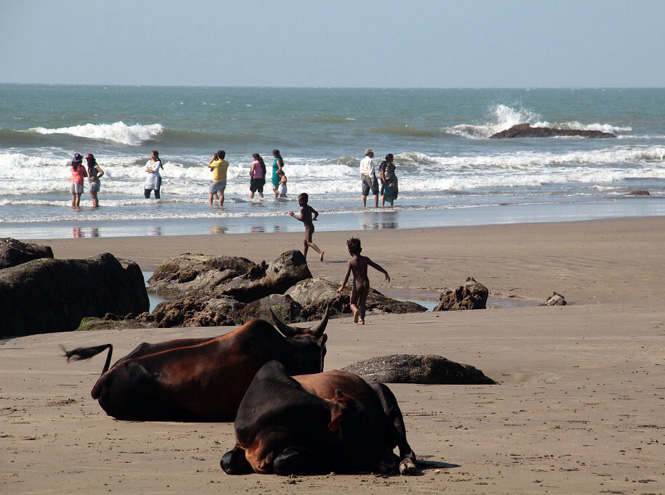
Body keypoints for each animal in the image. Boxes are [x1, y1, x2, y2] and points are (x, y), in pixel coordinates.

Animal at [220, 360, 418, 476]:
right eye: (362, 423)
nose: (389, 460)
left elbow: (280, 462)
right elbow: (226, 461)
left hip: (389, 403)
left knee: (407, 449)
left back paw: (406, 464)